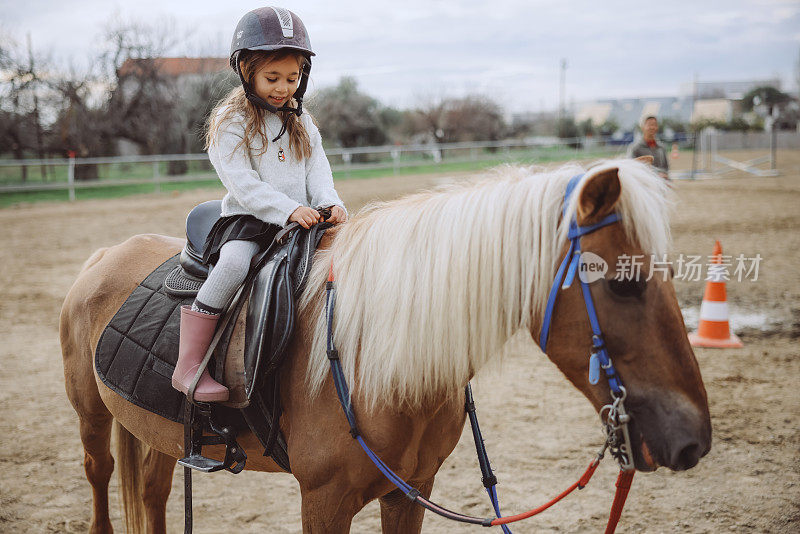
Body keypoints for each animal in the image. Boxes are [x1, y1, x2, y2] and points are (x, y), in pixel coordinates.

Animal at [61, 160, 712, 534]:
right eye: (623, 284)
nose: (694, 440)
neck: (370, 359)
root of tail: (106, 254)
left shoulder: (410, 493)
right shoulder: (324, 501)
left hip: (159, 431)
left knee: (152, 492)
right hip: (91, 415)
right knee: (100, 474)